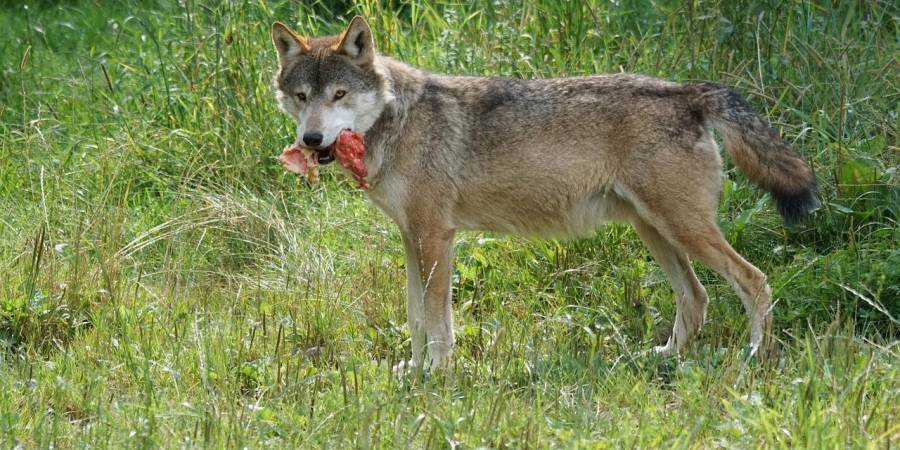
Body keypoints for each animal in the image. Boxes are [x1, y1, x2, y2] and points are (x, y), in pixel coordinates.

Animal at [268, 16, 816, 370]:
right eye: (302, 97)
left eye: (339, 95)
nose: (311, 140)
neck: (393, 123)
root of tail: (686, 91)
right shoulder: (411, 239)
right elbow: (415, 318)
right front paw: (412, 371)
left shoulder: (435, 237)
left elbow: (438, 322)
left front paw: (437, 375)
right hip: (654, 230)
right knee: (696, 297)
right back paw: (665, 357)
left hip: (682, 229)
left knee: (755, 280)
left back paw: (754, 358)